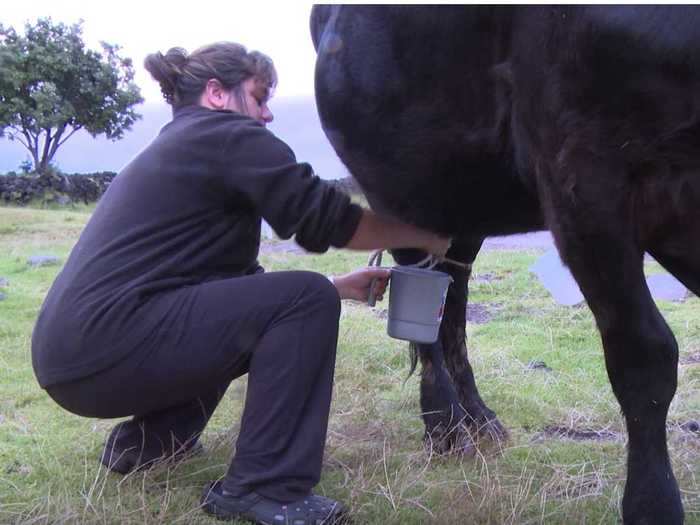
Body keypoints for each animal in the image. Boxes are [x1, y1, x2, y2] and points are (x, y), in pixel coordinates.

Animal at [314, 5, 700, 524]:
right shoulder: (580, 174)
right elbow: (644, 354)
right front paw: (652, 503)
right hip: (400, 191)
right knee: (424, 305)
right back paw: (445, 426)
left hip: (463, 200)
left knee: (452, 298)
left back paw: (478, 419)